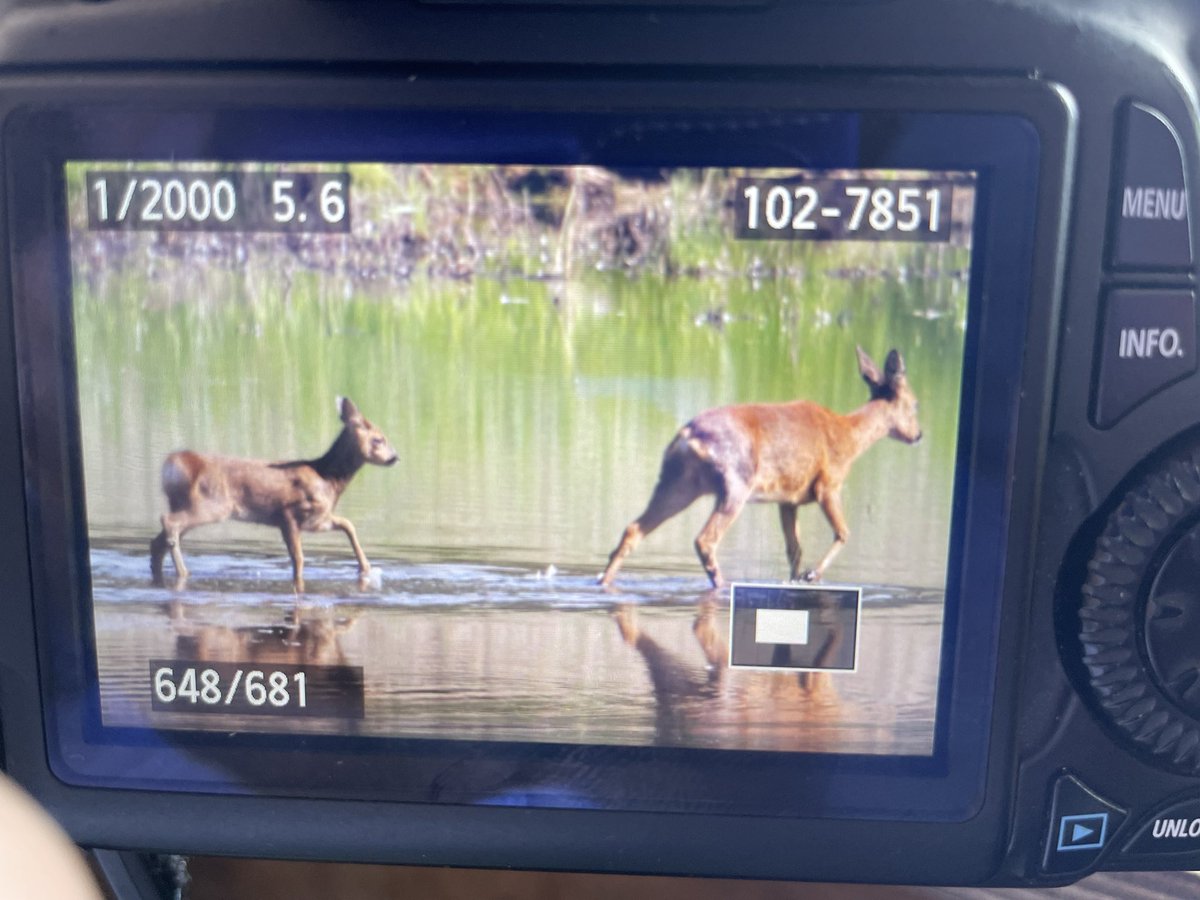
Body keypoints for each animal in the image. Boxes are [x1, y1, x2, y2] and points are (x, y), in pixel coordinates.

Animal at [150, 393, 398, 592]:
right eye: (378, 439)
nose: (395, 457)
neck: (327, 478)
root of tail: (173, 465)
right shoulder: (289, 513)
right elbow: (299, 558)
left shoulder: (317, 519)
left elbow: (348, 524)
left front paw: (366, 568)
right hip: (212, 504)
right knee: (168, 522)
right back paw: (183, 572)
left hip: (185, 502)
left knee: (159, 540)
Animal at [597, 348, 916, 592]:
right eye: (915, 404)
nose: (918, 434)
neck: (849, 438)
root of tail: (687, 435)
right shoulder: (828, 484)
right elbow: (843, 532)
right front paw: (812, 575)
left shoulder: (788, 499)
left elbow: (794, 550)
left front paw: (798, 578)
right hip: (735, 482)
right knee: (705, 540)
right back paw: (723, 585)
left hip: (677, 483)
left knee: (633, 529)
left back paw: (604, 581)